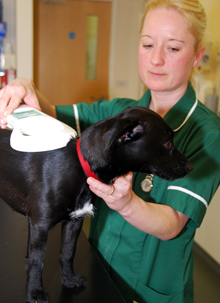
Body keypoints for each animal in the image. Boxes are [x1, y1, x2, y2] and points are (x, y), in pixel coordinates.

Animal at [0, 106, 192, 302]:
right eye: (168, 144)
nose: (191, 167)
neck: (81, 167)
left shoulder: (74, 221)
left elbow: (67, 253)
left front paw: (68, 279)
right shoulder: (40, 225)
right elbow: (36, 261)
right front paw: (34, 292)